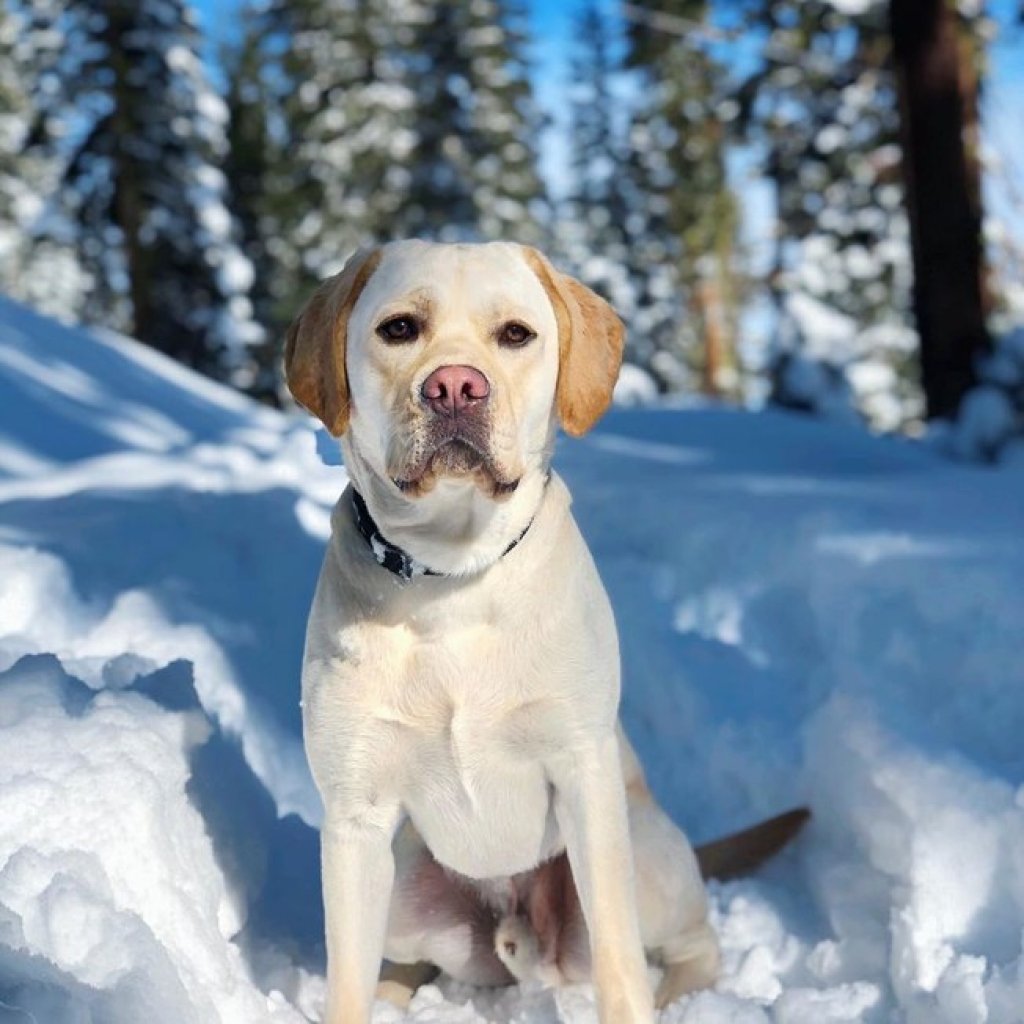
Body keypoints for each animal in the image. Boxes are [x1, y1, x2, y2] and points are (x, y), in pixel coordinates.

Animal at [284, 241, 802, 1024]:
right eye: (399, 328)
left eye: (516, 335)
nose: (456, 387)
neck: (453, 577)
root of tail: (518, 934)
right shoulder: (355, 814)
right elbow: (346, 978)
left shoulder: (583, 774)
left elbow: (620, 965)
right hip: (406, 879)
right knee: (405, 955)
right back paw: (400, 990)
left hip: (644, 855)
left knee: (688, 943)